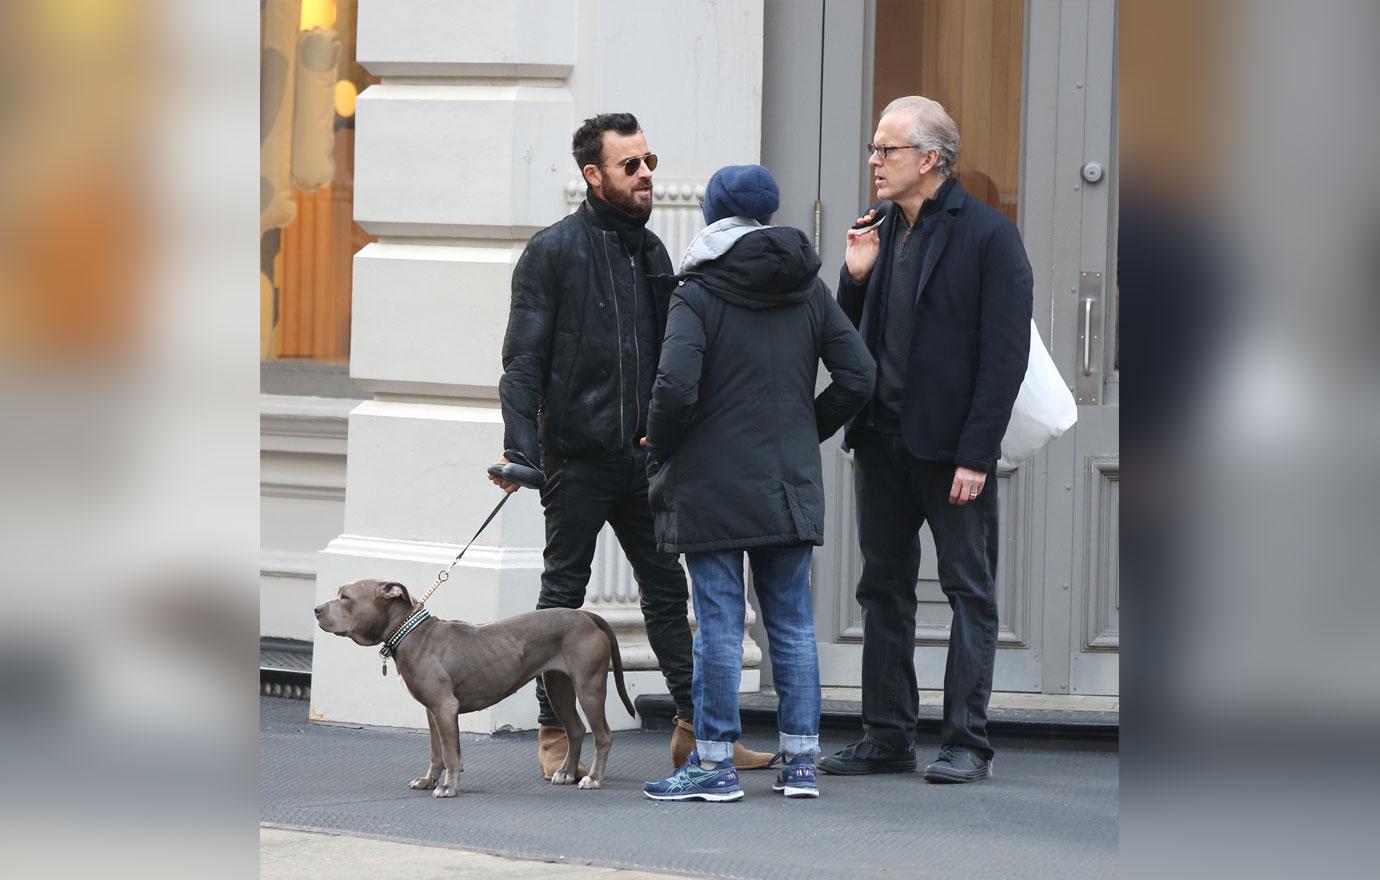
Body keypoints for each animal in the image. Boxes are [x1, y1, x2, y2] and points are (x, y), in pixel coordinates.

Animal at [316, 579, 632, 800]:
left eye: (346, 597)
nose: (316, 609)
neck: (411, 634)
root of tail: (588, 615)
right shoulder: (432, 711)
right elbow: (436, 752)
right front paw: (428, 780)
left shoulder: (445, 708)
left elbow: (451, 753)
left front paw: (448, 788)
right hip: (557, 686)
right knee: (576, 729)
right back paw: (566, 773)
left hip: (589, 687)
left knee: (603, 735)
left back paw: (593, 779)